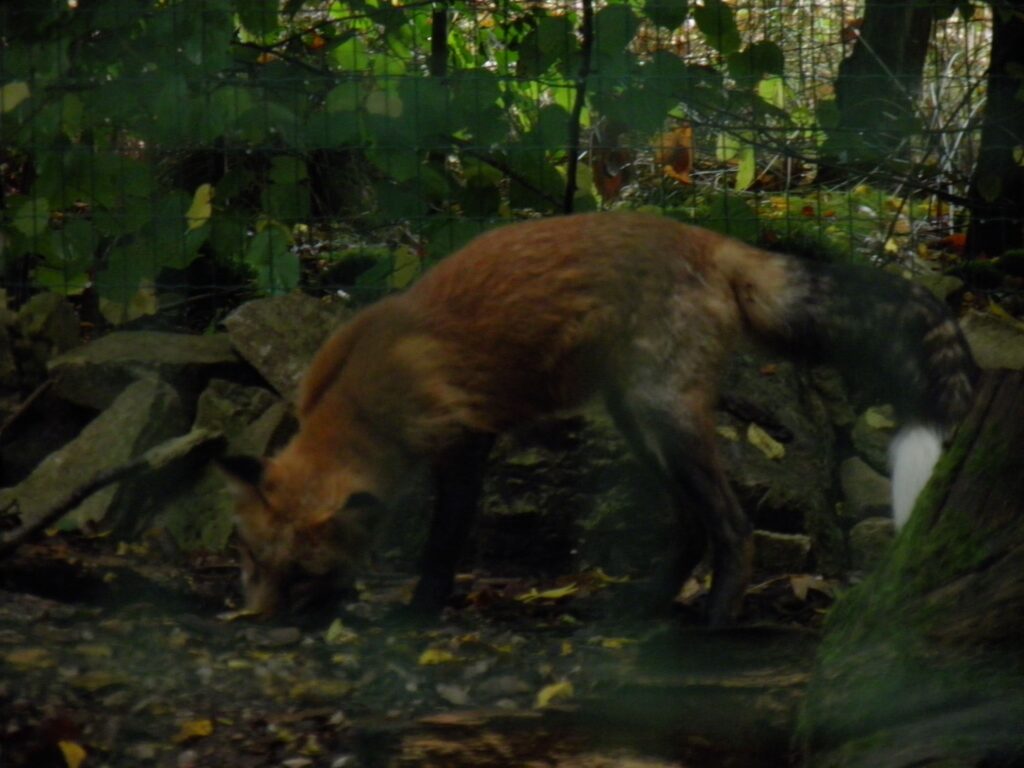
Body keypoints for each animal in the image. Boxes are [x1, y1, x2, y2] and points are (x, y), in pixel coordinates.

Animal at [219, 212, 976, 626]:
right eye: (251, 558)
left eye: (302, 572)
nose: (254, 620)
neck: (362, 402)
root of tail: (708, 240)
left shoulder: (466, 444)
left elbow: (441, 547)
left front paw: (416, 612)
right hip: (637, 421)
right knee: (691, 526)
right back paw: (651, 603)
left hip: (663, 415)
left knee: (734, 527)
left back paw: (713, 623)